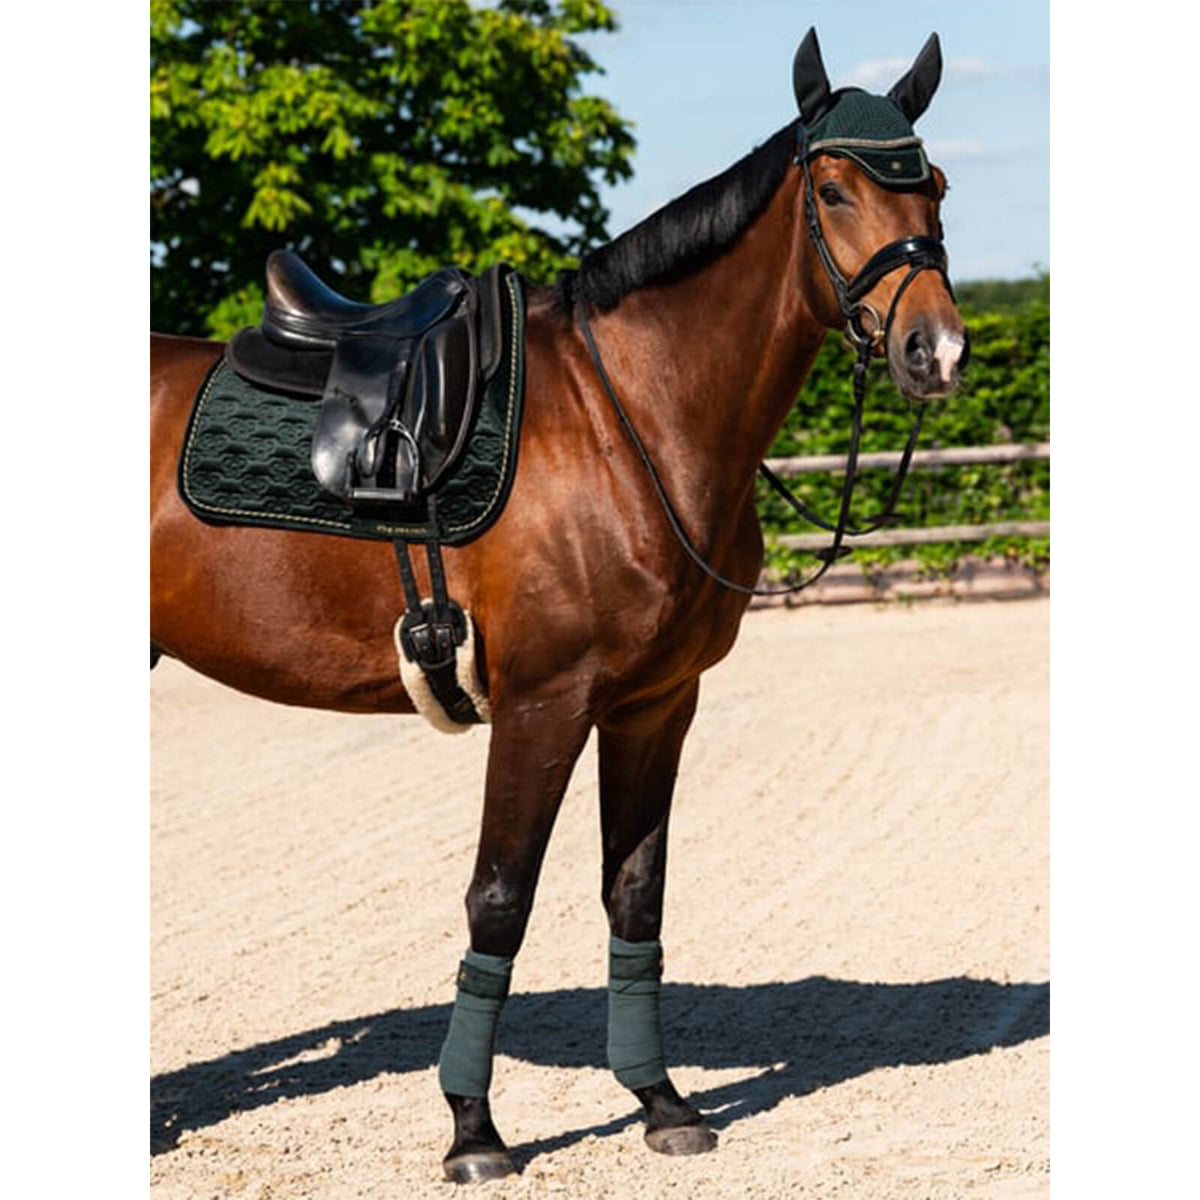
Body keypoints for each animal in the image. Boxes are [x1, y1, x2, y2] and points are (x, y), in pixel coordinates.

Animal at [150, 29, 967, 1183]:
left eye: (933, 186)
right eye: (836, 188)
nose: (935, 352)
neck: (629, 420)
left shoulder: (655, 706)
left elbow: (636, 892)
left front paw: (661, 1104)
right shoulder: (545, 703)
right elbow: (499, 900)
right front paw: (473, 1131)